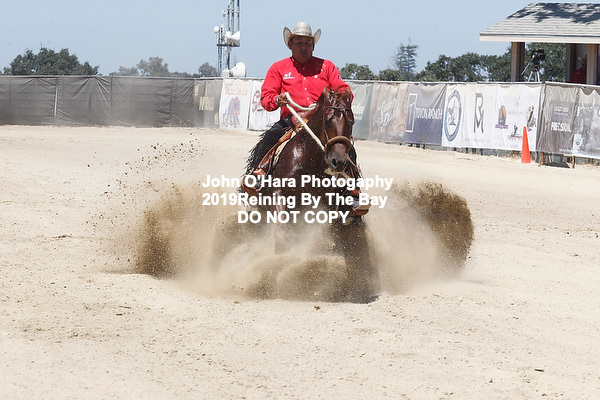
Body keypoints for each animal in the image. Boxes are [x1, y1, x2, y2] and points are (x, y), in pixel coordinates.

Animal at [242, 88, 380, 303]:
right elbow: (282, 231)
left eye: (351, 121)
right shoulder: (278, 193)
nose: (339, 161)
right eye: (327, 119)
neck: (309, 160)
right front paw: (279, 262)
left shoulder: (328, 204)